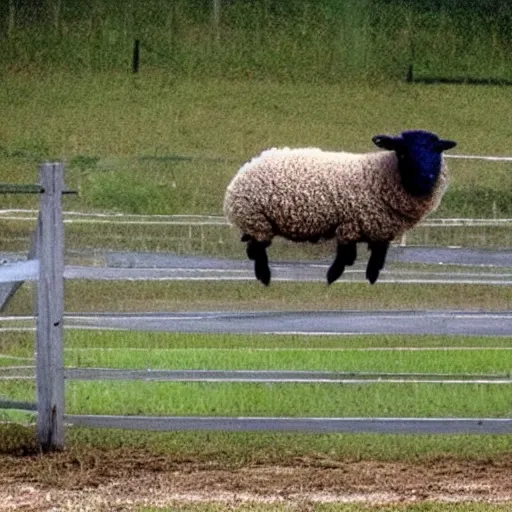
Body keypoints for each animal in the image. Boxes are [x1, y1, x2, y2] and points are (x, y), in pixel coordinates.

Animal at [224, 130, 456, 286]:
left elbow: (375, 262)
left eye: (437, 151)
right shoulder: (350, 225)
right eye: (403, 152)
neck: (380, 174)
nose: (425, 179)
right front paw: (331, 278)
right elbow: (344, 258)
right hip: (258, 221)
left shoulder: (381, 231)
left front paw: (369, 280)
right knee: (258, 252)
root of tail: (248, 166)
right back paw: (265, 278)